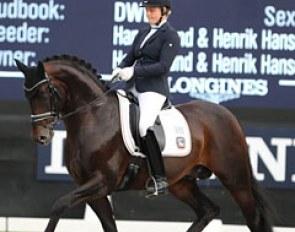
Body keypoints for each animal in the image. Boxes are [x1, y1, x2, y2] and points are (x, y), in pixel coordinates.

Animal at [15, 55, 274, 231]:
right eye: (27, 96)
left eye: (44, 93)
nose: (41, 137)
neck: (94, 117)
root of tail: (227, 115)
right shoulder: (92, 188)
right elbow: (108, 225)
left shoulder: (102, 182)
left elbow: (59, 204)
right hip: (182, 182)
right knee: (208, 211)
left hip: (234, 177)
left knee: (252, 217)